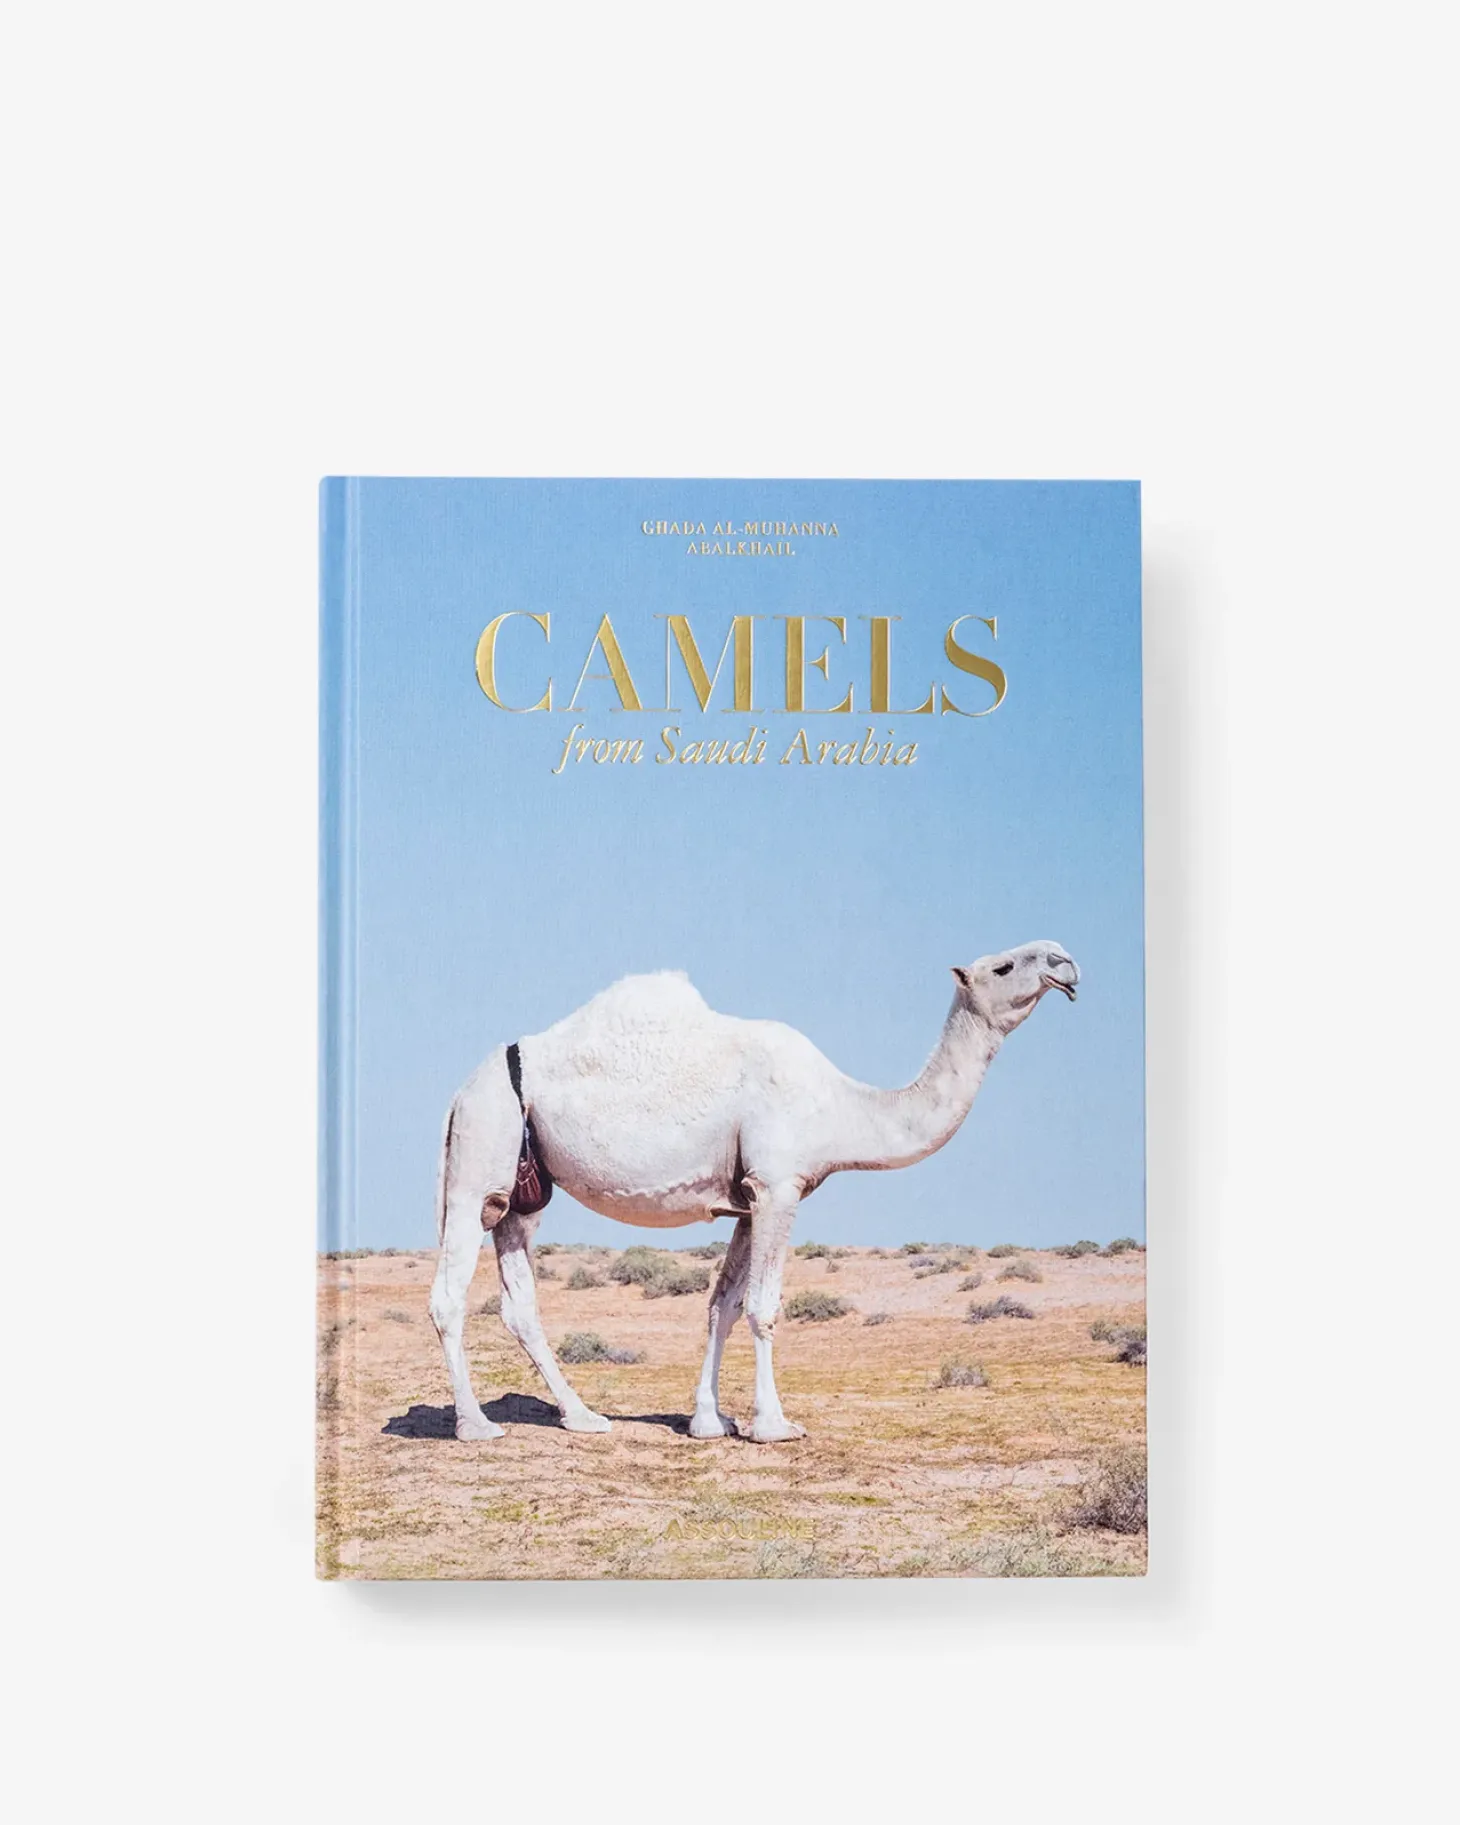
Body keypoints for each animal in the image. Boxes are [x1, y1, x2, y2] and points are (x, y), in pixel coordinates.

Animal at [428, 941, 1079, 1444]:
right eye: (1004, 966)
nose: (1065, 961)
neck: (840, 1107)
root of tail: (459, 1092)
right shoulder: (778, 1186)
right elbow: (764, 1307)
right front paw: (773, 1425)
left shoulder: (746, 1199)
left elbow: (723, 1304)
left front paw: (710, 1422)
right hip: (479, 1157)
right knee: (448, 1295)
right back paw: (475, 1426)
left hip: (522, 1191)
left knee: (519, 1300)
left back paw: (583, 1417)